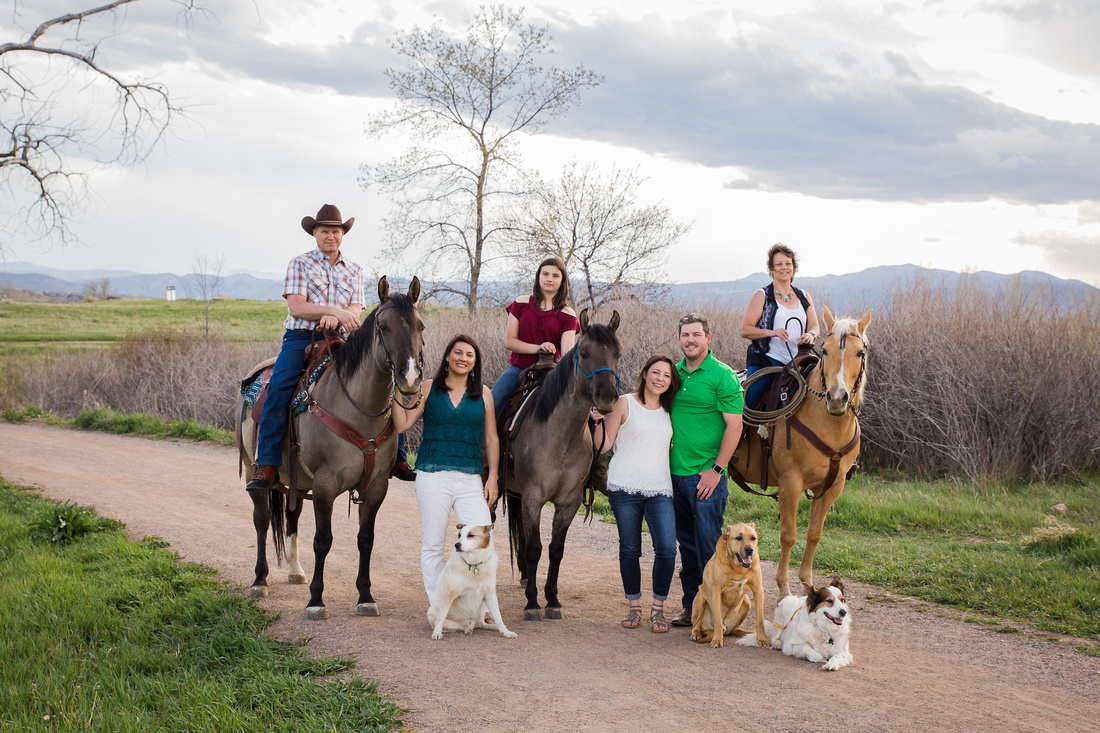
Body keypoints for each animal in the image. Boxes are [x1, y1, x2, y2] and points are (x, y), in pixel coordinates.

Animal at [236, 274, 424, 616]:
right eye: (383, 326)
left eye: (420, 326)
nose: (410, 378)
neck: (358, 408)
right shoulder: (325, 486)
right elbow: (323, 540)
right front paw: (316, 600)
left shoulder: (376, 488)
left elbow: (366, 539)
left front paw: (365, 596)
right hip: (251, 469)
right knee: (261, 521)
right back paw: (260, 581)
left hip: (296, 481)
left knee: (292, 516)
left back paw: (296, 571)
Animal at [503, 305, 624, 616]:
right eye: (584, 353)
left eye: (617, 354)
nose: (607, 398)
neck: (561, 438)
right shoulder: (534, 497)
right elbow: (535, 548)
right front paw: (533, 603)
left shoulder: (568, 502)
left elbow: (555, 550)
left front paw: (552, 599)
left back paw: (524, 575)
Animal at [690, 519, 770, 647]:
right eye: (738, 538)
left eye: (753, 538)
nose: (749, 550)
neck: (739, 569)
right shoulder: (717, 591)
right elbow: (718, 619)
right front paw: (717, 640)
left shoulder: (758, 589)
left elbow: (760, 620)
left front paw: (762, 639)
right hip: (700, 596)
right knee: (696, 624)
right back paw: (696, 634)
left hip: (747, 602)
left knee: (733, 630)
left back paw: (747, 633)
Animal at [726, 305, 871, 598]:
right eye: (825, 351)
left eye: (860, 353)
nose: (837, 398)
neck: (827, 423)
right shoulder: (790, 482)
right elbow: (788, 534)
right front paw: (783, 587)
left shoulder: (832, 486)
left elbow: (814, 533)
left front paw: (807, 582)